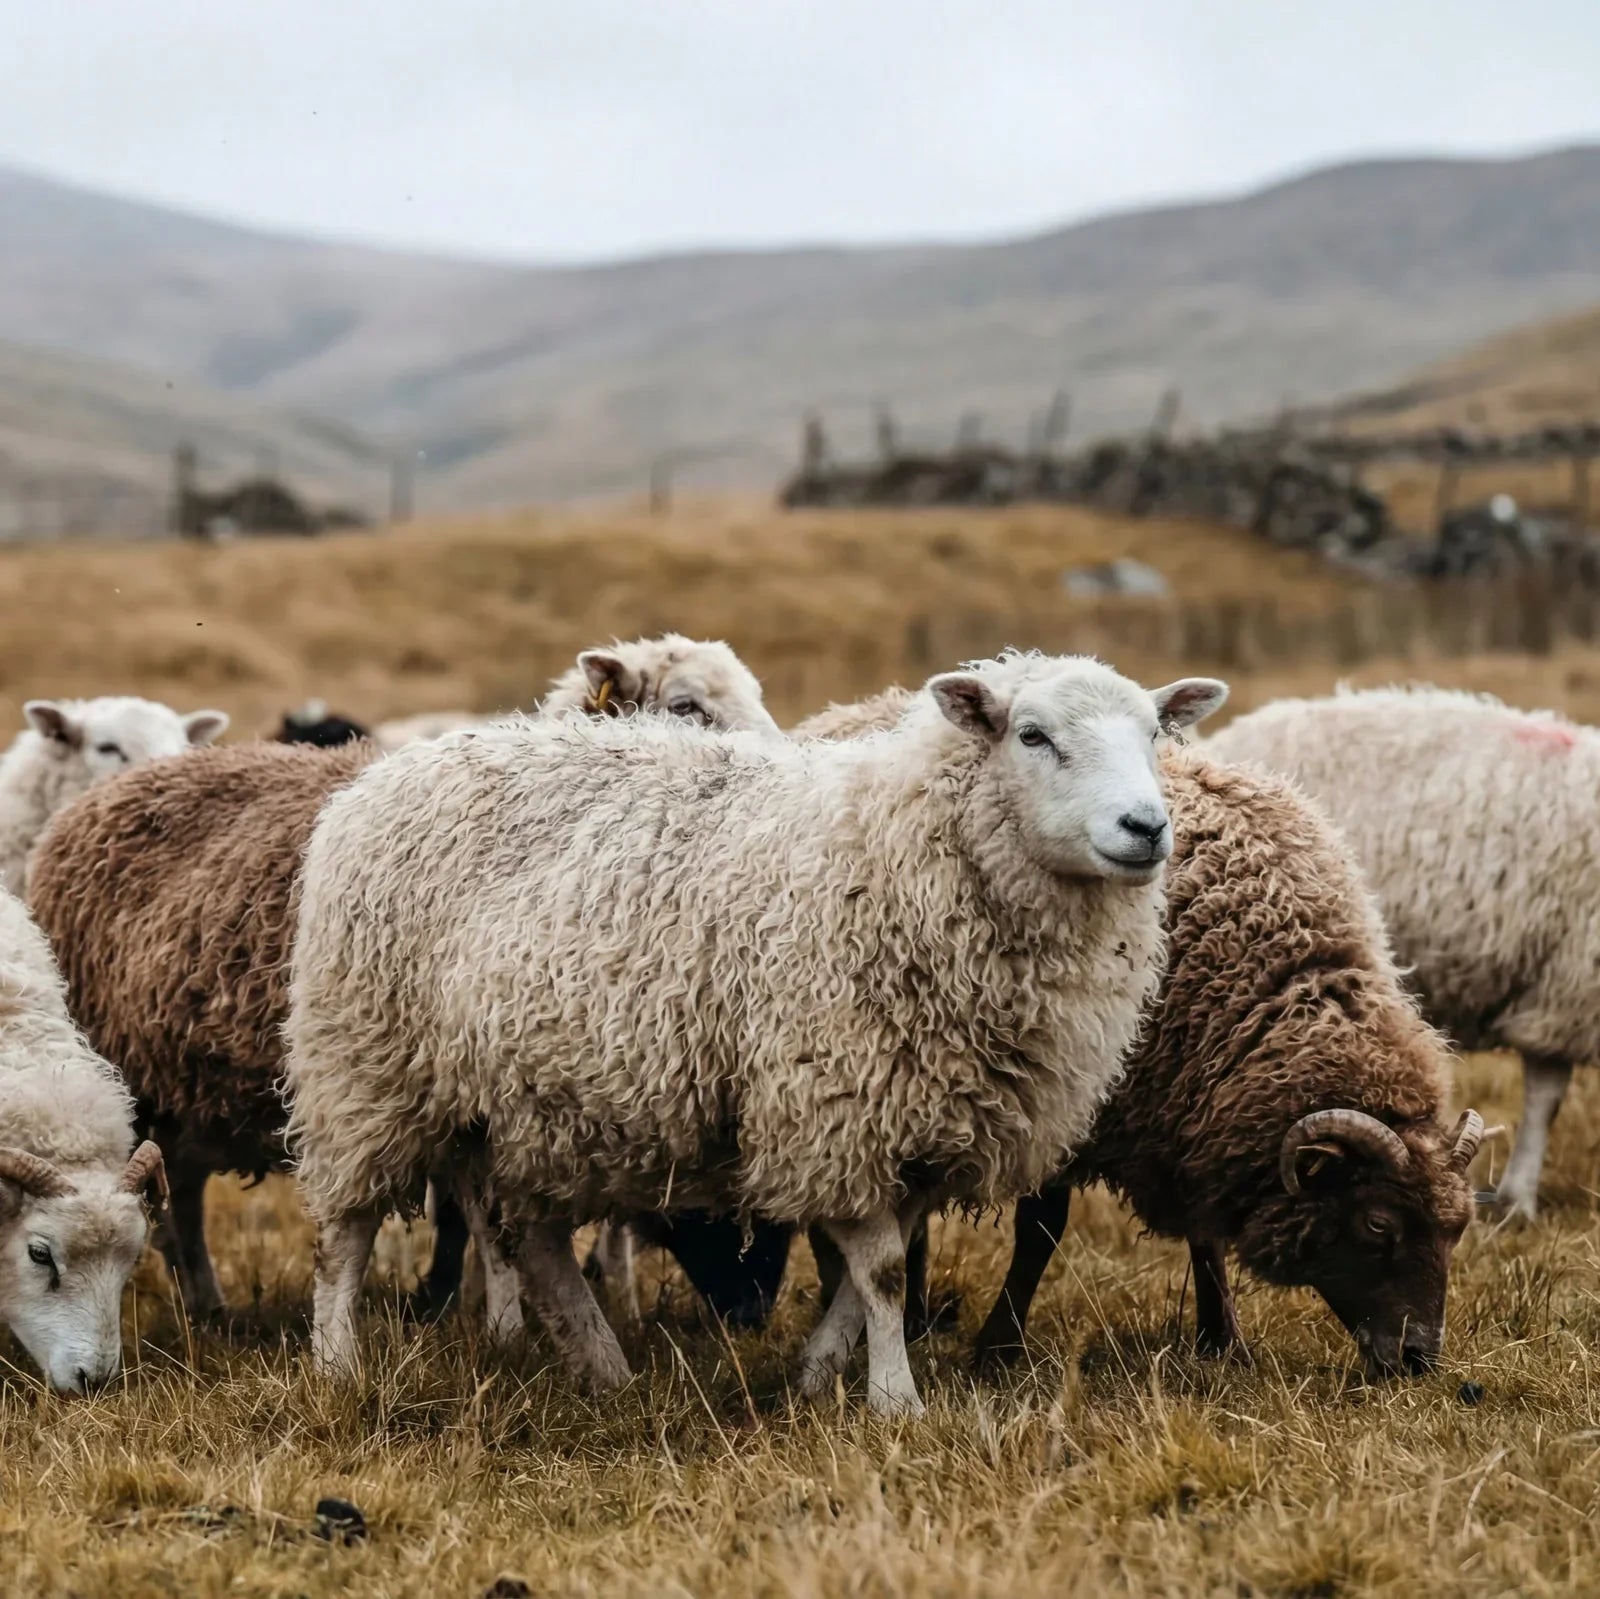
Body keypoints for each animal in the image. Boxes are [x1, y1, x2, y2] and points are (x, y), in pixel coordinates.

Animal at [25, 637, 782, 1323]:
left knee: (179, 1184)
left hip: (188, 1083)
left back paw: (207, 1303)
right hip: (141, 1072)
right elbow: (465, 1215)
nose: (750, 1311)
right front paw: (467, 1309)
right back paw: (199, 1304)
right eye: (685, 704)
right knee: (169, 1194)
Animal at [285, 653, 1226, 1414]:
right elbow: (883, 1272)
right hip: (364, 1065)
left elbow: (868, 1273)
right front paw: (896, 1402)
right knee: (344, 1232)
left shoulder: (927, 1117)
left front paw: (814, 1378)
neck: (904, 846)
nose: (1147, 827)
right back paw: (336, 1365)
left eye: (1155, 734)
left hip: (531, 1106)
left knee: (537, 1238)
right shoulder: (837, 1103)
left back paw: (604, 1369)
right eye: (1033, 735)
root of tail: (380, 776)